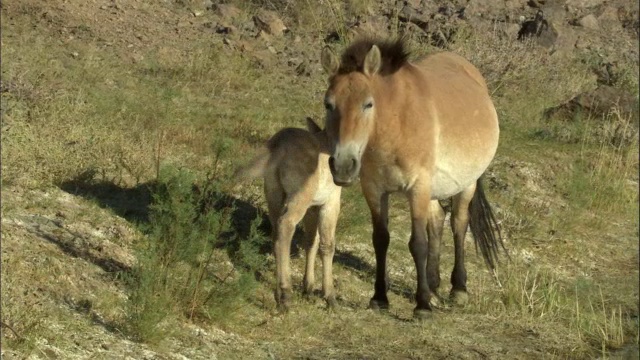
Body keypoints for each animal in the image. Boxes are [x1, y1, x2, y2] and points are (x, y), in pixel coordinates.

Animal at [235, 119, 342, 312]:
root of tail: (279, 145)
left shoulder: (312, 207)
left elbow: (311, 242)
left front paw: (309, 288)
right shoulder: (330, 203)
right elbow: (327, 245)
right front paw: (330, 296)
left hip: (274, 193)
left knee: (276, 232)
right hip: (298, 197)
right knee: (286, 225)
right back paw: (286, 295)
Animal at [322, 38, 508, 318]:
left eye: (368, 104)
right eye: (328, 104)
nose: (343, 165)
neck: (396, 124)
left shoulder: (417, 188)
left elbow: (418, 243)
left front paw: (422, 306)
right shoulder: (374, 190)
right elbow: (381, 239)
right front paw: (379, 298)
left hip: (466, 184)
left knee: (458, 224)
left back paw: (458, 289)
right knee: (438, 220)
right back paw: (432, 283)